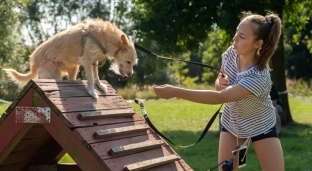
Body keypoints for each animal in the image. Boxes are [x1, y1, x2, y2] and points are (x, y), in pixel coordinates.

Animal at [2, 18, 136, 98]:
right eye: (128, 62)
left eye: (133, 63)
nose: (130, 75)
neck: (105, 37)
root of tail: (33, 59)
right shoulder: (87, 60)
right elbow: (91, 78)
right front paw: (92, 92)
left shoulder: (94, 62)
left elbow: (96, 76)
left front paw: (100, 86)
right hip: (54, 75)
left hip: (74, 69)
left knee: (71, 79)